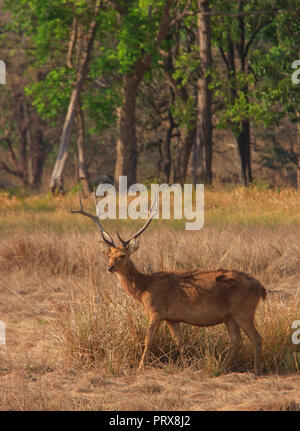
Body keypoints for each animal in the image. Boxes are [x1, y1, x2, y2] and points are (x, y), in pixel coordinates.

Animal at [71, 193, 268, 374]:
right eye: (109, 255)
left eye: (123, 255)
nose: (109, 267)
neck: (144, 288)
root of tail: (260, 287)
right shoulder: (172, 318)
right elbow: (179, 341)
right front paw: (187, 365)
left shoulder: (156, 311)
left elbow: (148, 339)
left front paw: (140, 367)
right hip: (229, 316)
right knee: (237, 341)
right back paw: (223, 368)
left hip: (243, 310)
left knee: (257, 338)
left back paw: (256, 370)